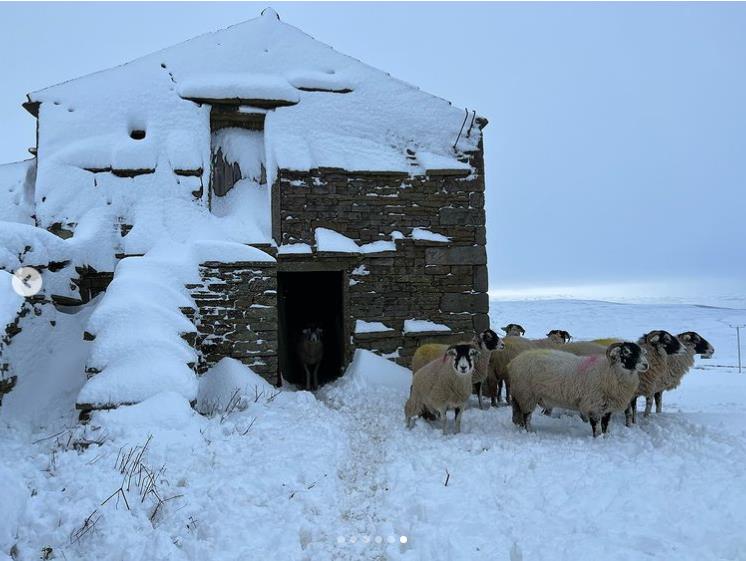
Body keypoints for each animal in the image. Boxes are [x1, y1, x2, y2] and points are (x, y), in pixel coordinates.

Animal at [506, 342, 644, 438]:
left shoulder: (607, 408)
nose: (646, 365)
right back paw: (530, 431)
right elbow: (596, 427)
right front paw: (597, 439)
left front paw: (605, 438)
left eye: (641, 351)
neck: (608, 371)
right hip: (527, 395)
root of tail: (513, 362)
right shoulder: (593, 405)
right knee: (527, 417)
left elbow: (605, 426)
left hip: (521, 396)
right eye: (626, 351)